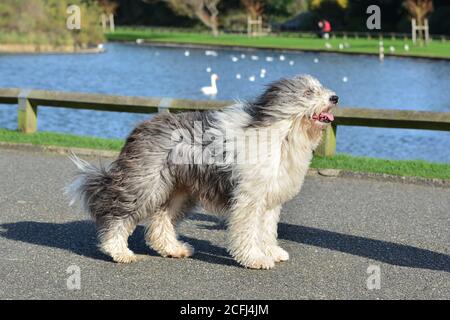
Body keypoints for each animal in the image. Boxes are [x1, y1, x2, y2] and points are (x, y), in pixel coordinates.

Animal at [67, 74, 338, 268]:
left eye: (320, 87)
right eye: (308, 92)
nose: (335, 97)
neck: (281, 134)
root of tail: (140, 129)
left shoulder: (269, 198)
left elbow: (268, 230)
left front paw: (272, 251)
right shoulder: (248, 198)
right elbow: (248, 230)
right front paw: (255, 258)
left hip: (179, 190)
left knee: (160, 221)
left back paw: (173, 249)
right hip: (145, 184)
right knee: (118, 216)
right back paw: (119, 251)